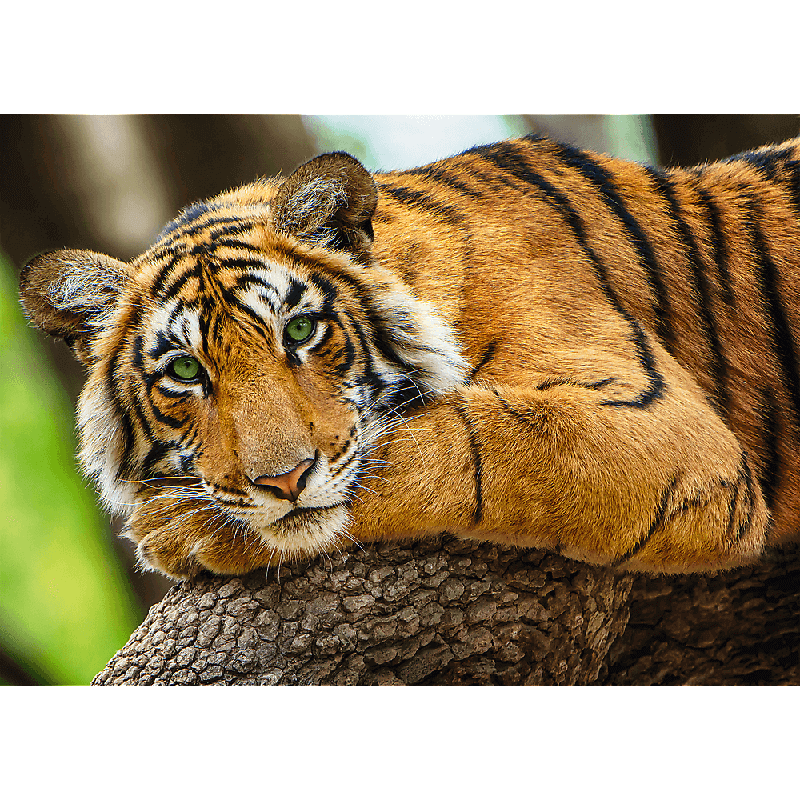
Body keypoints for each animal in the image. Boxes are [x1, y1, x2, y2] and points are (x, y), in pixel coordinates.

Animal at [19, 133, 800, 580]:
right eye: (184, 371)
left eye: (300, 330)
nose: (283, 481)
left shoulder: (664, 431)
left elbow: (461, 443)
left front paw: (177, 528)